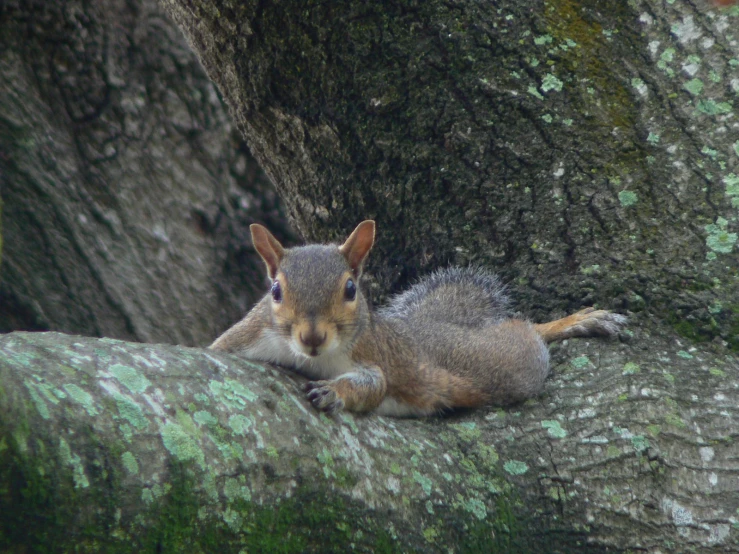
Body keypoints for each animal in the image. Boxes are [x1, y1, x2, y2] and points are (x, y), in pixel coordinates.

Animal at [211, 220, 628, 414]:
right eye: (275, 291)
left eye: (351, 289)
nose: (312, 338)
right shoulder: (242, 339)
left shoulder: (371, 356)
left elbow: (374, 386)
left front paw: (335, 392)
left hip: (504, 362)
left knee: (524, 330)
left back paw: (568, 323)